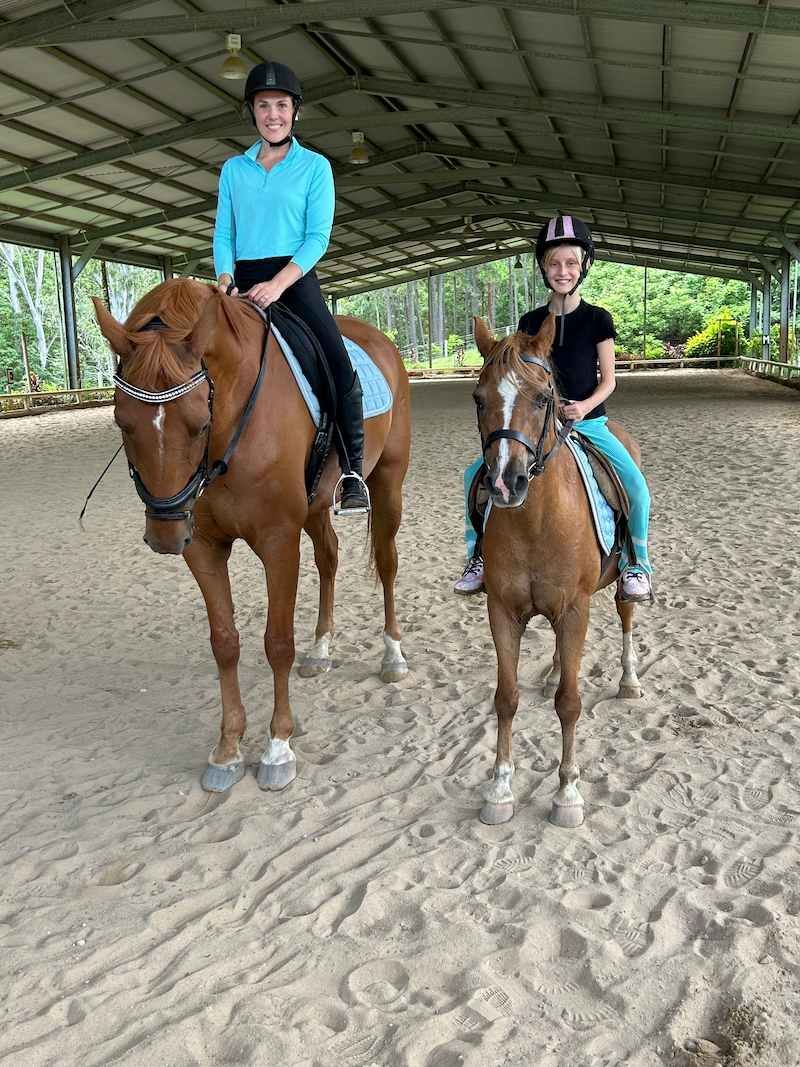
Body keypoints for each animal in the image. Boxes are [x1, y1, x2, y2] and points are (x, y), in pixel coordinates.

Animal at [92, 278, 410, 793]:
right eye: (122, 422)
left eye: (199, 422)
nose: (164, 535)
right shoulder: (202, 546)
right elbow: (225, 643)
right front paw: (226, 751)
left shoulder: (278, 540)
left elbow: (276, 642)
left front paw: (278, 748)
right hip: (316, 507)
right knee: (329, 558)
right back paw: (320, 650)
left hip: (388, 483)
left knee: (386, 561)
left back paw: (393, 656)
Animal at [471, 314, 644, 828]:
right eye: (479, 398)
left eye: (543, 398)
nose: (505, 483)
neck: (536, 521)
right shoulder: (502, 610)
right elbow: (505, 698)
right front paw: (500, 789)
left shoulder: (574, 611)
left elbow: (569, 703)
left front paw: (568, 793)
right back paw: (550, 670)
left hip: (619, 586)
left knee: (627, 618)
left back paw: (629, 681)